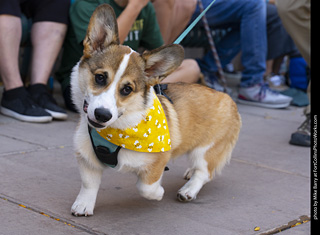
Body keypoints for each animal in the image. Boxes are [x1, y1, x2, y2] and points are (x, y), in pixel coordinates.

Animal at [70, 4, 240, 217]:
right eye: (100, 77)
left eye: (127, 89)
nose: (102, 115)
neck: (118, 131)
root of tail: (227, 97)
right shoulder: (87, 158)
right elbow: (89, 184)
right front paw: (83, 205)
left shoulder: (159, 159)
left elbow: (146, 187)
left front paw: (159, 192)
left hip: (206, 149)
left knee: (203, 172)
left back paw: (188, 190)